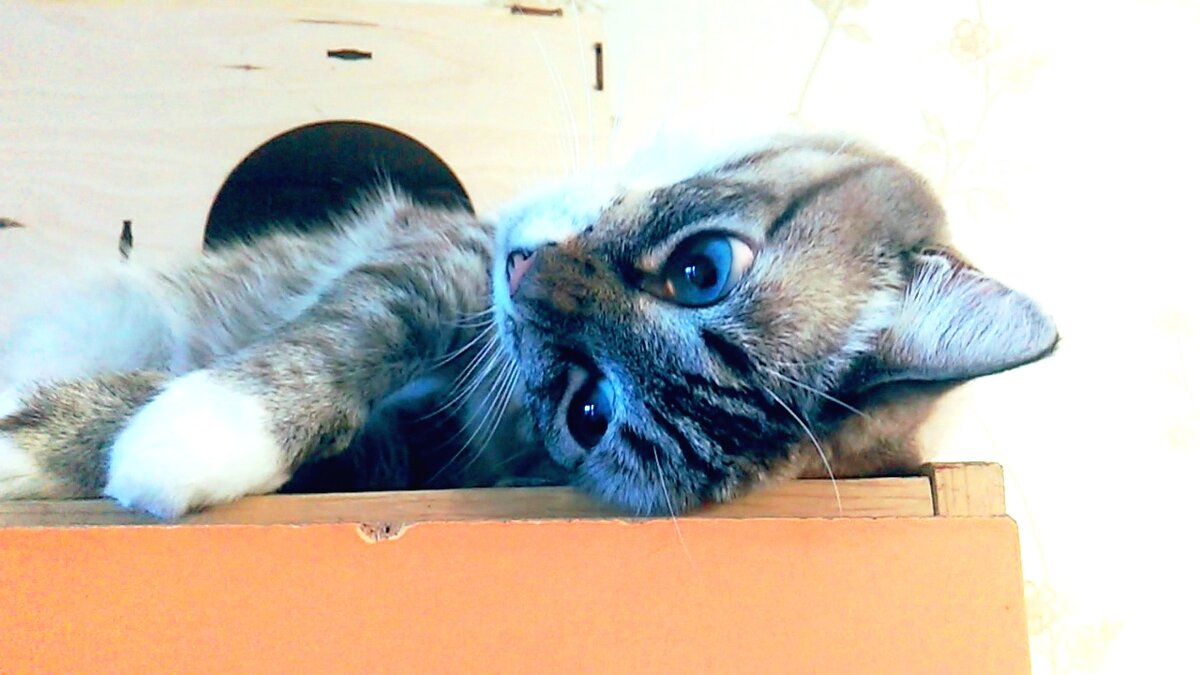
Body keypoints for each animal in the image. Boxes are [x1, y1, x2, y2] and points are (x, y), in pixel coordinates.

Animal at [0, 130, 1057, 518]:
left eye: (588, 412)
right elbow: (347, 332)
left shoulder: (417, 446)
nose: (524, 281)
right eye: (703, 269)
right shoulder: (441, 260)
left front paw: (161, 436)